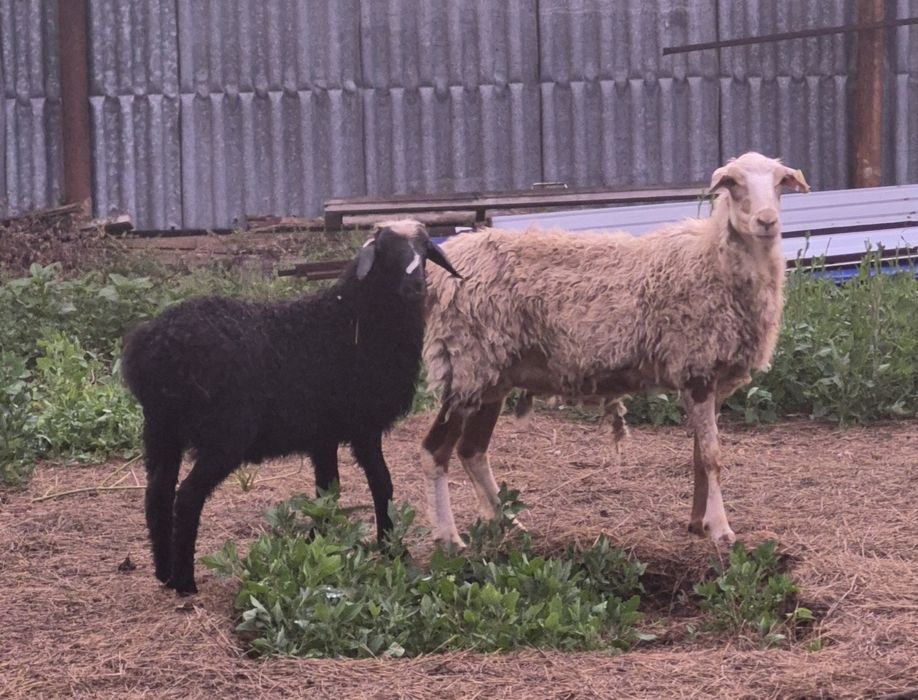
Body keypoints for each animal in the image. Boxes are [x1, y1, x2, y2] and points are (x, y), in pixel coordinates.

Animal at [122, 220, 461, 595]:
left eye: (425, 249)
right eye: (385, 251)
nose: (415, 286)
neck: (351, 317)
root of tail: (153, 344)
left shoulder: (323, 435)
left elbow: (327, 491)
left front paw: (320, 542)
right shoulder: (364, 426)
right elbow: (381, 483)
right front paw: (392, 548)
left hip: (160, 428)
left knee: (157, 494)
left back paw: (164, 574)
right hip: (224, 434)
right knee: (187, 496)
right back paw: (185, 582)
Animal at [420, 152, 810, 547]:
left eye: (780, 182)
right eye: (733, 183)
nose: (767, 221)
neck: (711, 258)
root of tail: (443, 265)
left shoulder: (708, 376)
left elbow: (700, 456)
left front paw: (697, 523)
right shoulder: (696, 367)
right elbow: (713, 456)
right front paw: (721, 529)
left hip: (492, 375)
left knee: (472, 450)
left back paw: (508, 523)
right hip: (467, 364)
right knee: (436, 450)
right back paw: (449, 538)